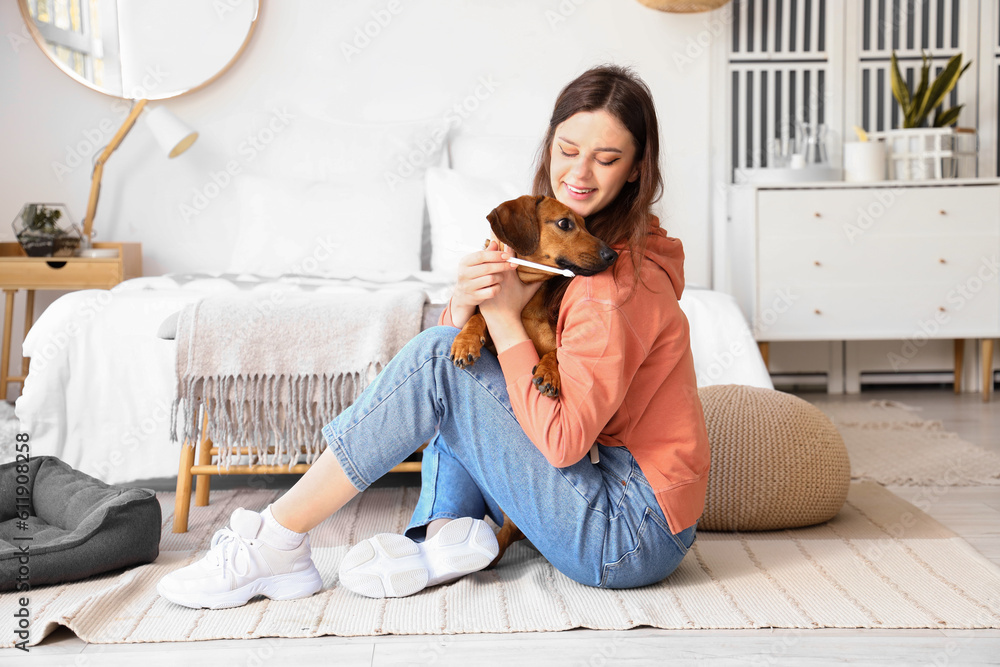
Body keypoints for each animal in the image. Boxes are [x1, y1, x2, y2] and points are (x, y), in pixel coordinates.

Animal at [448, 196, 616, 568]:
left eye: (587, 224)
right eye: (565, 223)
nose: (613, 254)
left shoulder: (552, 342)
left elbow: (554, 353)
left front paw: (549, 374)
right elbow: (477, 317)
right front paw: (466, 341)